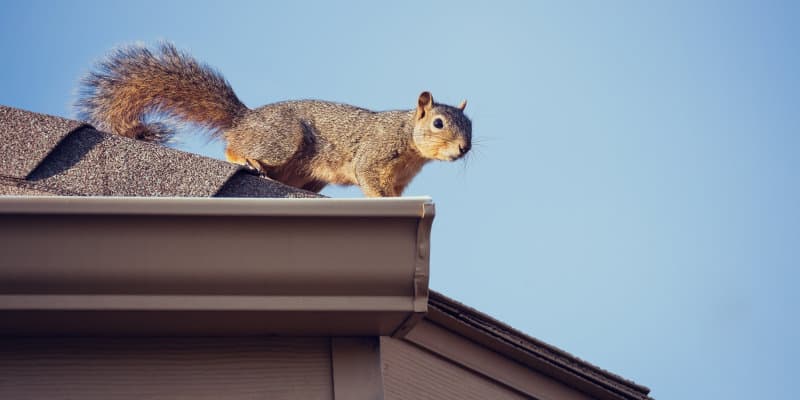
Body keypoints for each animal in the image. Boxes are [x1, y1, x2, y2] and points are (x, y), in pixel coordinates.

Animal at [76, 43, 468, 197]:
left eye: (471, 126)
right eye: (438, 123)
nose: (464, 148)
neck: (408, 139)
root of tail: (245, 119)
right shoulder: (374, 154)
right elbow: (368, 178)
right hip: (282, 140)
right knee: (233, 147)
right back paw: (246, 158)